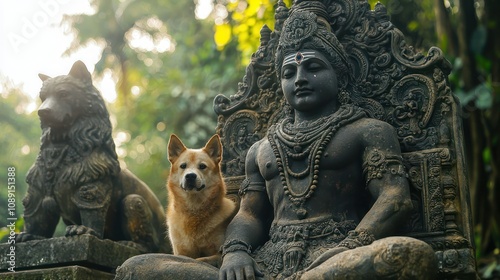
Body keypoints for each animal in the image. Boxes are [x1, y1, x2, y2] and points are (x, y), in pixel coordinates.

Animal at [166, 135, 236, 266]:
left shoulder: (219, 253)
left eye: (202, 166)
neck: (194, 211)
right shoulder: (181, 252)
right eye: (183, 166)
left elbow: (203, 259)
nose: (190, 176)